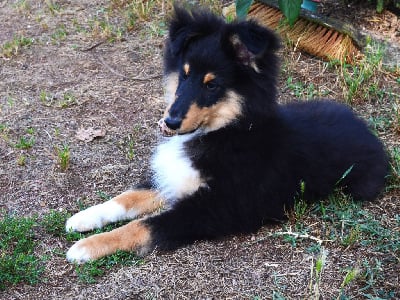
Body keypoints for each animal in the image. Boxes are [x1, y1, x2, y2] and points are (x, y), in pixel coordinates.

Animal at [65, 4, 388, 262]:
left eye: (212, 85)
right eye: (184, 75)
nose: (169, 122)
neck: (226, 131)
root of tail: (364, 126)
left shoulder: (217, 207)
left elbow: (144, 225)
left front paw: (85, 247)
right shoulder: (176, 178)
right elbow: (128, 197)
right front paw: (83, 217)